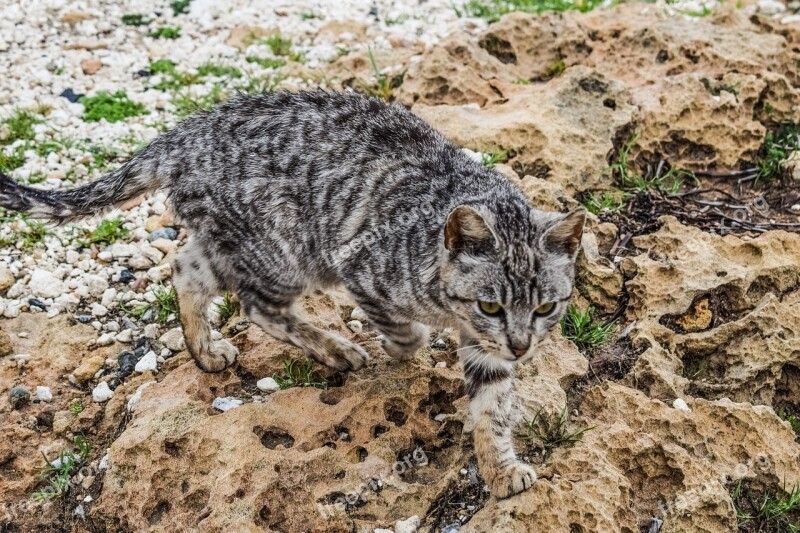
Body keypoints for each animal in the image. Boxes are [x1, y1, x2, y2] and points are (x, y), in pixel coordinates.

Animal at [1, 91, 588, 498]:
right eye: (490, 304)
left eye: (545, 307)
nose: (521, 346)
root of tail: (183, 133)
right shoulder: (361, 267)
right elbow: (409, 332)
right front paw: (398, 346)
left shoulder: (488, 351)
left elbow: (492, 409)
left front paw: (500, 469)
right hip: (281, 251)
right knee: (253, 302)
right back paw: (335, 347)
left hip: (233, 243)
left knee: (186, 268)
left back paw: (204, 349)